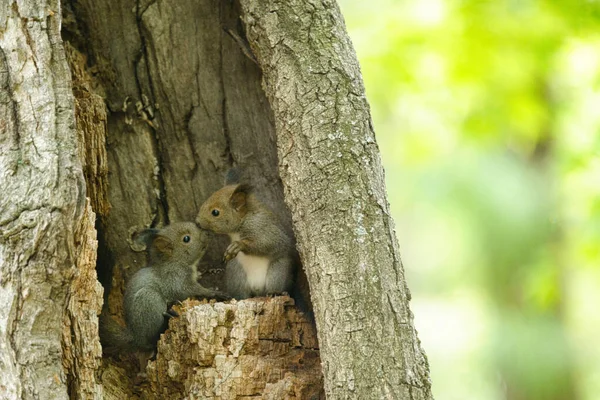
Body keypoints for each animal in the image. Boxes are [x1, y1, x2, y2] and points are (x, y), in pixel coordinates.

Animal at [195, 169, 314, 322]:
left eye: (215, 212)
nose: (197, 222)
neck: (243, 221)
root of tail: (258, 290)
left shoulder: (262, 226)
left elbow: (269, 243)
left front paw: (239, 245)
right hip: (236, 273)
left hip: (278, 271)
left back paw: (274, 292)